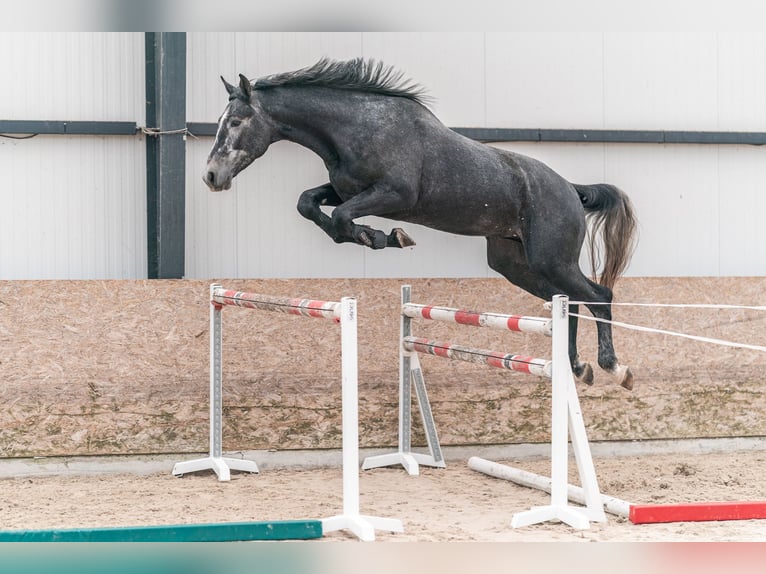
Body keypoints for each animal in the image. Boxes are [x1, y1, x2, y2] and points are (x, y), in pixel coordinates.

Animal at [202, 57, 636, 392]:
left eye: (237, 121)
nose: (211, 177)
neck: (357, 127)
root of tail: (570, 189)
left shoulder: (395, 194)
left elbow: (341, 218)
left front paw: (384, 236)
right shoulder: (346, 190)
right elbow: (309, 204)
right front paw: (379, 236)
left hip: (551, 259)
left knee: (597, 295)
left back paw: (615, 368)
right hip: (514, 263)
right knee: (569, 301)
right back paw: (576, 367)